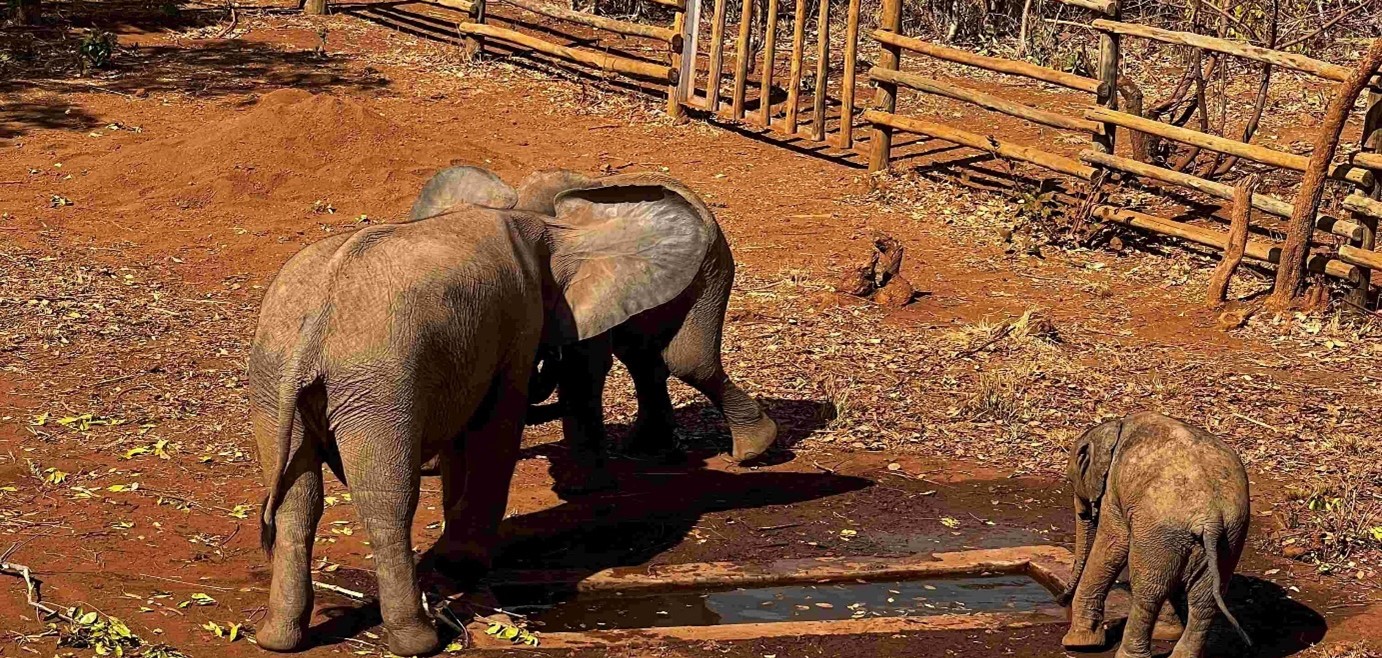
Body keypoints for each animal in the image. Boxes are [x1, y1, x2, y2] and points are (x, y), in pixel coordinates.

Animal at [249, 171, 719, 656]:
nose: (554, 362)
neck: (540, 225)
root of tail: (314, 329)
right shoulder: (518, 319)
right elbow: (497, 428)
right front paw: (466, 563)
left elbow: (465, 439)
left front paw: (452, 557)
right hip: (376, 385)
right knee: (386, 501)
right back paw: (419, 642)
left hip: (273, 376)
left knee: (297, 503)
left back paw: (278, 639)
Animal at [409, 166, 779, 493]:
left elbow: (582, 369)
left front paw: (581, 489)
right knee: (644, 361)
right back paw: (646, 449)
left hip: (712, 269)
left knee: (687, 361)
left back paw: (752, 451)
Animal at [1057, 411, 1252, 658]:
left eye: (1071, 482)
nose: (1060, 599)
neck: (1115, 426)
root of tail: (1211, 517)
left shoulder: (1113, 491)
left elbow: (1114, 544)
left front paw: (1078, 644)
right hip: (1228, 536)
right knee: (1204, 598)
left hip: (1165, 530)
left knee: (1149, 591)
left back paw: (1128, 655)